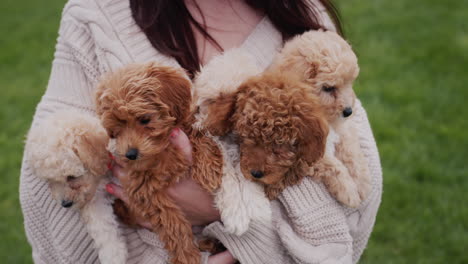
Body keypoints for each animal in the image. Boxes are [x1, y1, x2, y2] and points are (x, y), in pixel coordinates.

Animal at [25, 110, 128, 264]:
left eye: (71, 177)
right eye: (50, 180)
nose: (65, 204)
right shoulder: (95, 200)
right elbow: (102, 228)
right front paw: (113, 255)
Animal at [95, 62, 223, 264]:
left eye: (144, 119)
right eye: (115, 131)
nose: (130, 154)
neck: (162, 148)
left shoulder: (187, 124)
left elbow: (200, 137)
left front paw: (209, 170)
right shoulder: (145, 190)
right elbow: (172, 224)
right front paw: (186, 256)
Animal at [268, 29, 372, 205]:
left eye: (349, 83)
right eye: (328, 88)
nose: (348, 111)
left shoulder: (342, 127)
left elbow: (350, 151)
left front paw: (362, 182)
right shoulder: (303, 150)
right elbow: (331, 164)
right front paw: (348, 191)